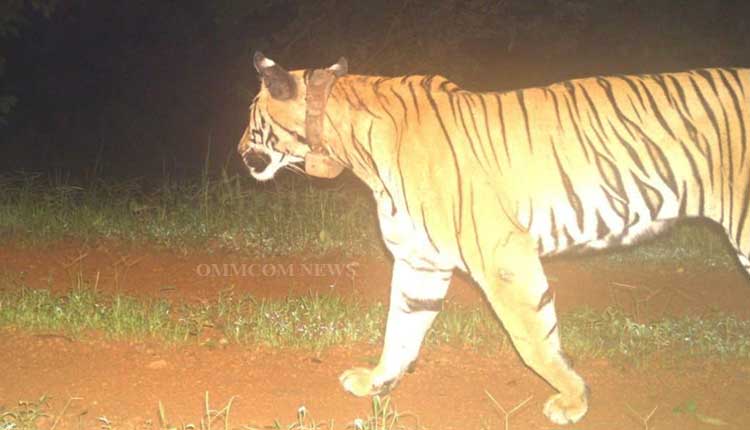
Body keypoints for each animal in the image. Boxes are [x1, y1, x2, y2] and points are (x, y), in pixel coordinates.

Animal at [238, 52, 750, 425]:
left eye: (251, 117)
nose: (240, 150)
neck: (350, 145)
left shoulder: (503, 254)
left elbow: (533, 340)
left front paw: (573, 400)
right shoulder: (420, 261)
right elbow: (401, 327)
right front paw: (378, 380)